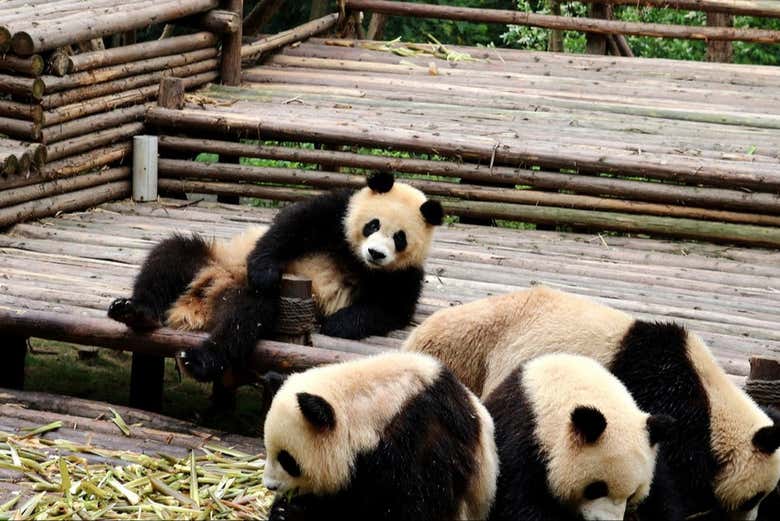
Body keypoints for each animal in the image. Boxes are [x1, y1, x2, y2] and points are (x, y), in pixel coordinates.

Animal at [107, 172, 443, 382]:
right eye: (373, 224)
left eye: (399, 238)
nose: (376, 253)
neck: (356, 259)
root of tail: (197, 302)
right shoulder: (336, 214)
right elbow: (290, 227)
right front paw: (265, 271)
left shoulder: (403, 275)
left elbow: (389, 310)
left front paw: (337, 323)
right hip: (215, 258)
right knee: (171, 256)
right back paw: (135, 311)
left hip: (242, 295)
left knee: (245, 318)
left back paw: (200, 359)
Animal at [261, 351, 499, 521]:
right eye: (268, 450)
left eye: (287, 460)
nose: (270, 486)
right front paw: (282, 510)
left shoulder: (420, 441)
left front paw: (290, 512)